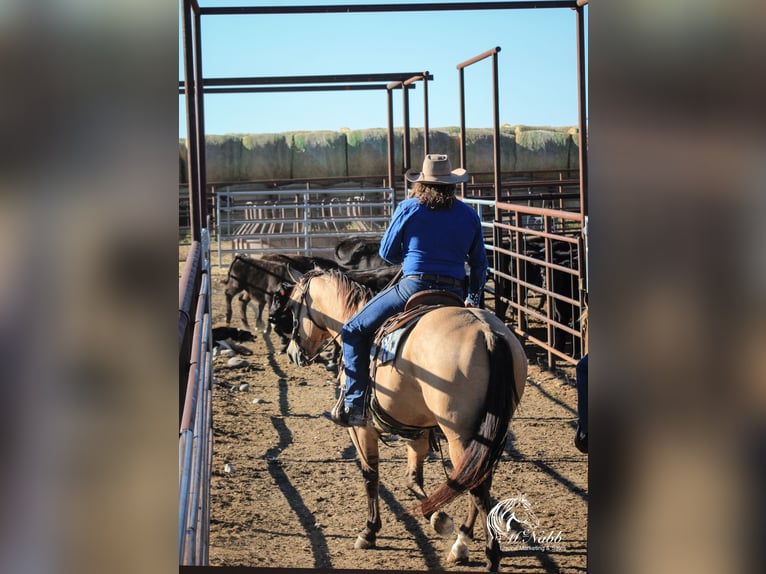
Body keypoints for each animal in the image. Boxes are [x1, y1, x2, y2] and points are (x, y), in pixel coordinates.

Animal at [276, 268, 528, 572]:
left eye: (292, 307)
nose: (293, 353)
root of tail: (487, 333)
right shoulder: (416, 430)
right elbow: (412, 479)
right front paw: (437, 518)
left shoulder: (361, 429)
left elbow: (370, 475)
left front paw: (369, 531)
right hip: (485, 435)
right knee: (475, 479)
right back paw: (461, 543)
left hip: (461, 435)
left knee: (476, 488)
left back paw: (491, 556)